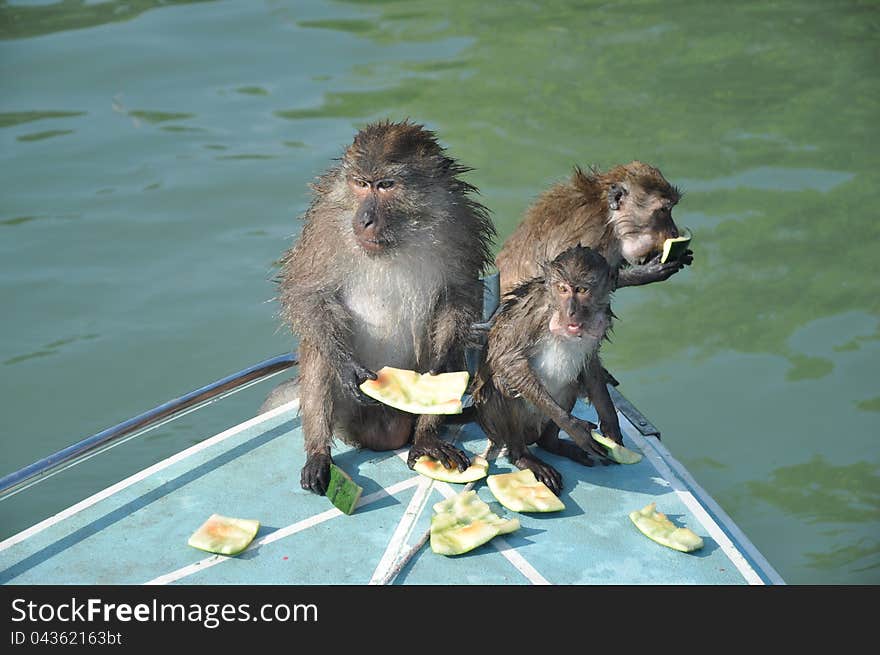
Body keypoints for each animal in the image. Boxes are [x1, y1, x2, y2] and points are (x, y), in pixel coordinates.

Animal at [276, 119, 496, 498]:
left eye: (386, 185)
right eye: (361, 183)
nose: (364, 218)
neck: (400, 236)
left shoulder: (461, 222)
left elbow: (459, 293)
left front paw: (439, 365)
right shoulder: (324, 225)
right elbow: (309, 294)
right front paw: (345, 366)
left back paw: (426, 437)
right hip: (349, 416)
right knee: (317, 351)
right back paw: (319, 453)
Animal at [474, 246, 620, 498]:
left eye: (582, 290)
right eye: (562, 289)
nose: (571, 310)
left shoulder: (602, 317)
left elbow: (590, 365)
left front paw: (611, 422)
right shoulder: (533, 312)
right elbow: (507, 359)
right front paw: (575, 428)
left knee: (571, 382)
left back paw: (552, 443)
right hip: (499, 424)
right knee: (504, 383)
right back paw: (524, 457)